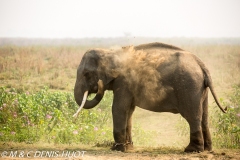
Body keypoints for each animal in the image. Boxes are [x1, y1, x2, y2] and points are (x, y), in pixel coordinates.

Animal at [73, 42, 227, 152]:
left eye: (86, 74)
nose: (98, 85)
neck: (110, 52)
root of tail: (201, 64)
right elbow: (129, 111)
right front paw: (128, 147)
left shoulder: (124, 81)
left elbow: (118, 108)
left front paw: (117, 149)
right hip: (201, 89)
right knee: (204, 117)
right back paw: (207, 149)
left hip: (189, 87)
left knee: (192, 116)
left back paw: (192, 150)